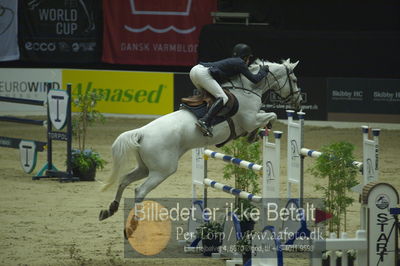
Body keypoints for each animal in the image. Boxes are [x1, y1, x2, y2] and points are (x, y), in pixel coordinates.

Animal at [98, 58, 302, 220]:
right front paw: (254, 135)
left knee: (124, 180)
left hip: (146, 167)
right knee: (139, 191)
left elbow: (267, 117)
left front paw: (254, 135)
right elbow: (271, 116)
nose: (299, 102)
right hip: (162, 170)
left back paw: (109, 210)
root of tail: (141, 132)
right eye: (294, 79)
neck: (249, 89)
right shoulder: (250, 119)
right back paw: (134, 224)